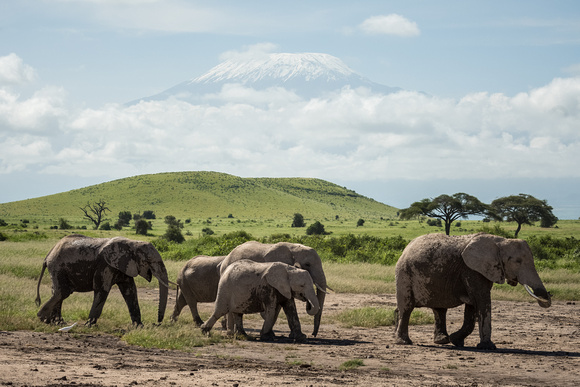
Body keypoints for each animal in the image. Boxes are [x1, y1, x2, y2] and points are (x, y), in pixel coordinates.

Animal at [36, 233, 169, 328]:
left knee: (57, 291)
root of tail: (48, 254)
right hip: (58, 267)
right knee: (63, 291)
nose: (157, 323)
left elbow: (130, 291)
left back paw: (56, 322)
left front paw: (139, 327)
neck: (133, 243)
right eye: (149, 261)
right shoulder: (105, 265)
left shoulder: (124, 266)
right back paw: (43, 319)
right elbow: (102, 290)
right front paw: (90, 325)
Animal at [392, 233, 552, 352]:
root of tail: (406, 248)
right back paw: (404, 342)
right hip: (404, 274)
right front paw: (488, 347)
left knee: (439, 309)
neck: (500, 241)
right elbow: (481, 301)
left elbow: (472, 306)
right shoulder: (472, 270)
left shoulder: (480, 270)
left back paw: (442, 341)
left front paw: (456, 340)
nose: (548, 295)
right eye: (518, 261)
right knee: (406, 308)